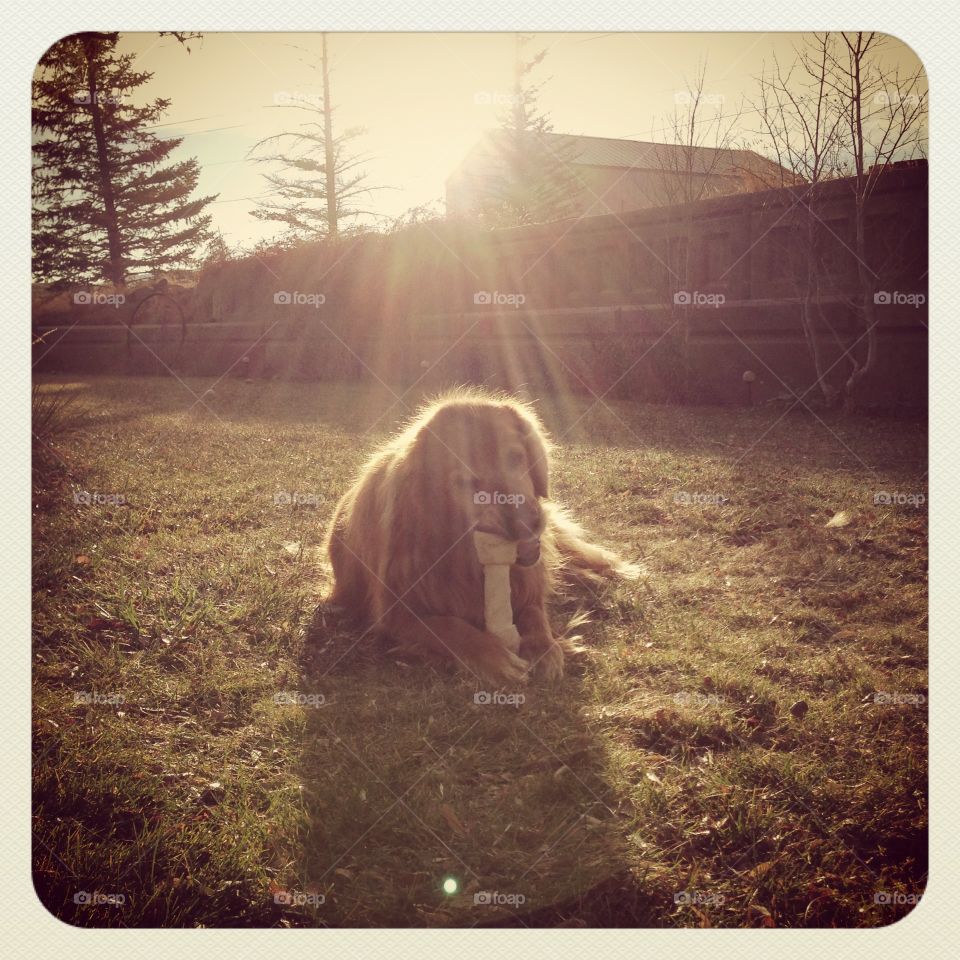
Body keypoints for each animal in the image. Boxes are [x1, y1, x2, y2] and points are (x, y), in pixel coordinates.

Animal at [324, 390, 636, 684]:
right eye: (464, 481)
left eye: (516, 457)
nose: (528, 524)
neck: (462, 553)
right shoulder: (394, 614)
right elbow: (449, 628)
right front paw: (494, 656)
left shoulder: (529, 582)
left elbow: (535, 612)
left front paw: (544, 648)